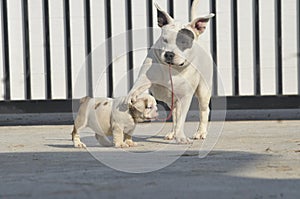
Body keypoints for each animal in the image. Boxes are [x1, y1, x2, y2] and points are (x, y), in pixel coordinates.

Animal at [127, 0, 214, 143]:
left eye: (184, 42)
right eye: (165, 39)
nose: (169, 54)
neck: (172, 69)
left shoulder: (185, 96)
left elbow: (182, 118)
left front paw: (181, 137)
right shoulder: (145, 78)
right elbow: (137, 87)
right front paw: (131, 98)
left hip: (203, 89)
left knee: (203, 109)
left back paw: (200, 132)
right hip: (171, 99)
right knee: (174, 113)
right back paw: (172, 133)